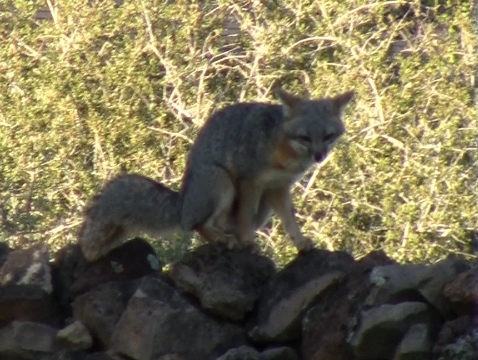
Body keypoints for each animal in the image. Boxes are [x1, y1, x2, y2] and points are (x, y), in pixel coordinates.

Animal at [79, 87, 354, 262]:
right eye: (305, 137)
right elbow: (244, 219)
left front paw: (300, 242)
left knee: (217, 225)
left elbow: (290, 221)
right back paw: (225, 239)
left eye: (328, 136)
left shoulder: (278, 188)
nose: (319, 156)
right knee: (196, 225)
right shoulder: (248, 181)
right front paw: (248, 243)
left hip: (262, 208)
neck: (281, 150)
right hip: (222, 183)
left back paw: (227, 238)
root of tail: (182, 201)